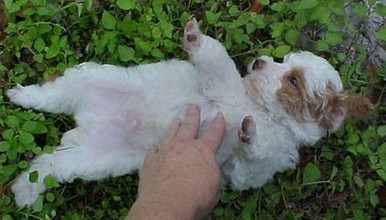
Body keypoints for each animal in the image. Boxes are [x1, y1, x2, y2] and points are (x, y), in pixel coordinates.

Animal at [6, 18, 372, 206]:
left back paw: (25, 190)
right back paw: (21, 94)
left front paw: (250, 132)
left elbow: (253, 160)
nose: (258, 62)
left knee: (49, 165)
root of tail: (88, 119)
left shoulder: (252, 169)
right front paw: (195, 37)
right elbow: (216, 58)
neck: (258, 105)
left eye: (293, 80)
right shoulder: (222, 84)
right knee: (52, 95)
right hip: (94, 79)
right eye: (281, 61)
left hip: (94, 157)